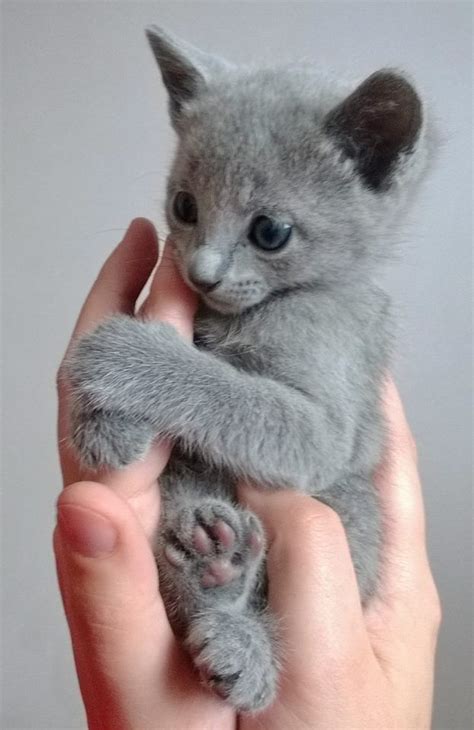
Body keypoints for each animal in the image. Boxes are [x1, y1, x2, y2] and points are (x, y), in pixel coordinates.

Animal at [65, 27, 434, 712]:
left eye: (270, 231)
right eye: (184, 205)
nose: (201, 273)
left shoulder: (324, 423)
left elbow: (229, 390)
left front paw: (127, 356)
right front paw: (103, 425)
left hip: (354, 502)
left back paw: (242, 629)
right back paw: (212, 572)